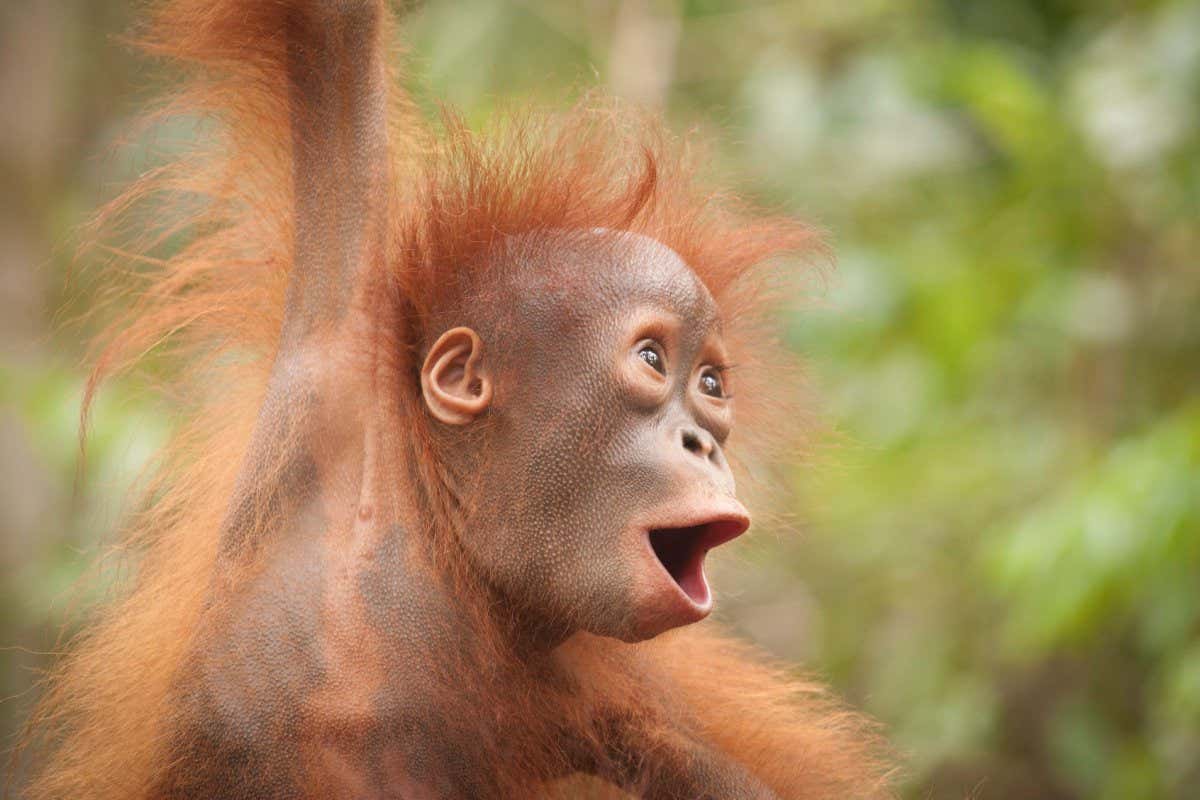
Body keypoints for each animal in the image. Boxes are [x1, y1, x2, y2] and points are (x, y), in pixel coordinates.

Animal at [18, 1, 894, 798]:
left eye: (711, 386)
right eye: (652, 360)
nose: (704, 443)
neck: (445, 537)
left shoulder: (595, 696)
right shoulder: (342, 367)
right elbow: (333, 40)